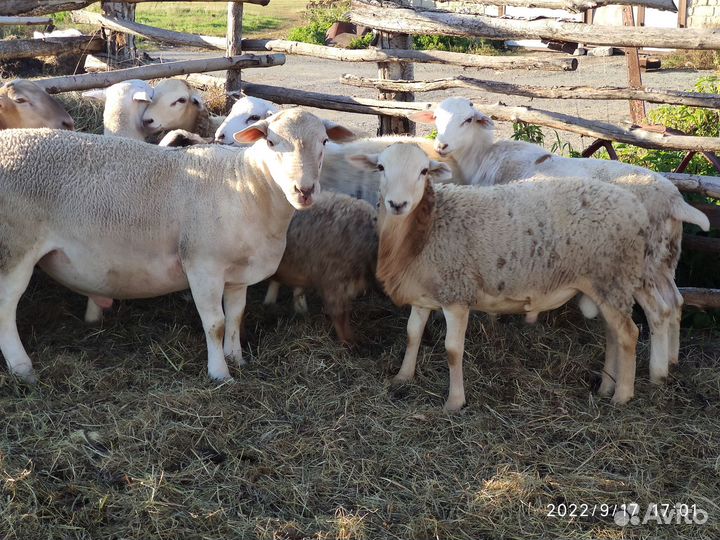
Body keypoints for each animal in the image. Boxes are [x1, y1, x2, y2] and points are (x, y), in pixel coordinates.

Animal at [0, 109, 353, 383]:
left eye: (324, 142)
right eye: (270, 142)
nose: (304, 190)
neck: (248, 185)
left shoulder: (237, 273)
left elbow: (236, 316)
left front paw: (237, 358)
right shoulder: (202, 264)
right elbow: (216, 324)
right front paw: (220, 373)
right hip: (14, 248)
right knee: (5, 309)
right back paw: (22, 368)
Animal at [349, 142, 670, 410]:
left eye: (423, 171)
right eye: (381, 167)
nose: (397, 204)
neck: (427, 227)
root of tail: (633, 205)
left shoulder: (457, 293)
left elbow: (453, 350)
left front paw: (454, 402)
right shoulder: (425, 291)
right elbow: (412, 334)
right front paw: (403, 377)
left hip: (612, 276)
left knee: (629, 333)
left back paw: (622, 395)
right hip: (605, 285)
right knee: (613, 333)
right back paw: (605, 386)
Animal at [410, 97, 710, 383]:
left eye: (468, 119)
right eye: (436, 117)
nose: (441, 145)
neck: (483, 157)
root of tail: (674, 200)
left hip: (641, 265)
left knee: (659, 311)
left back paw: (657, 373)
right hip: (664, 259)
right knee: (675, 302)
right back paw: (672, 360)